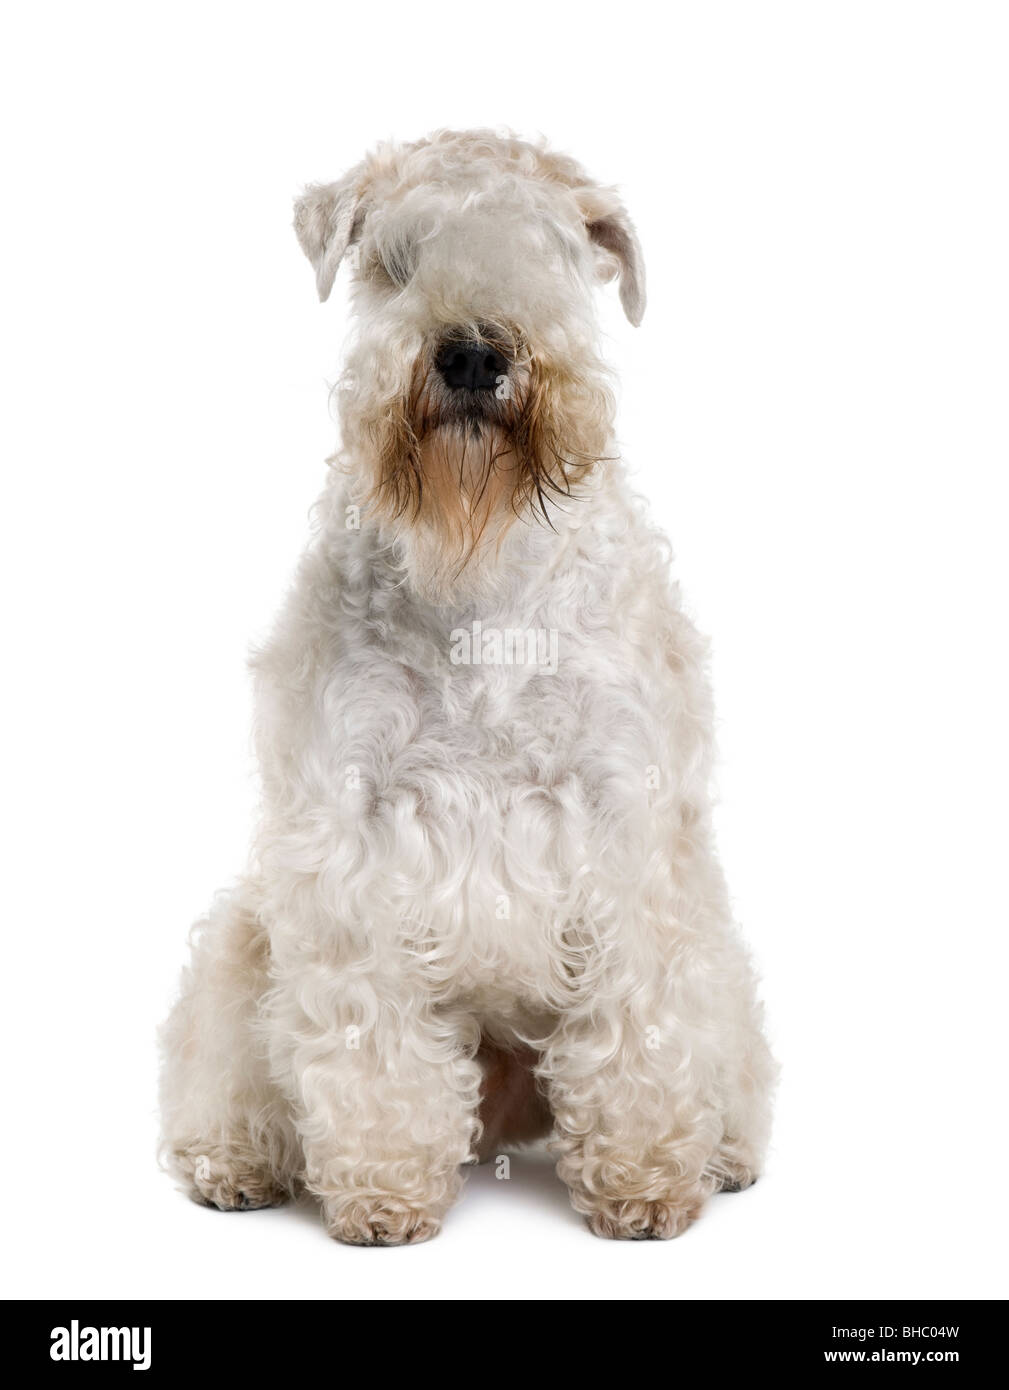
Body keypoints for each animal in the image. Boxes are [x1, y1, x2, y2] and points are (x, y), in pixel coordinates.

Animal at [158, 130, 778, 1245]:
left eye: (553, 250)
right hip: (242, 938)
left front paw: (646, 1181)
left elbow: (641, 1021)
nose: (475, 352)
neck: (479, 575)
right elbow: (366, 1040)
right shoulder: (350, 835)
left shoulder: (629, 832)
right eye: (395, 257)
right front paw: (382, 1189)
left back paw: (722, 1152)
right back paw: (234, 1161)